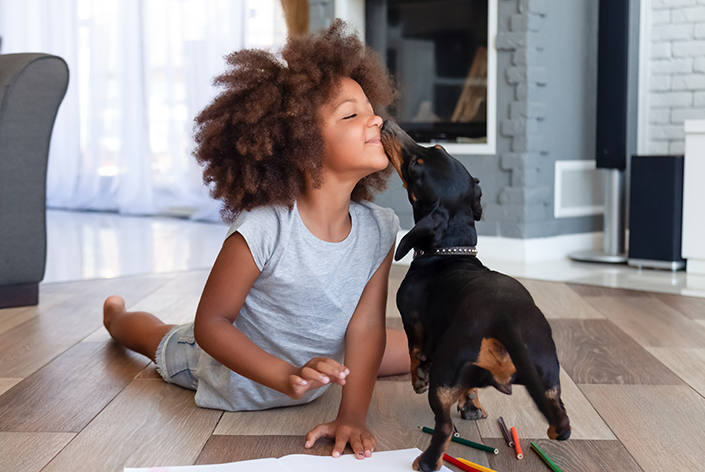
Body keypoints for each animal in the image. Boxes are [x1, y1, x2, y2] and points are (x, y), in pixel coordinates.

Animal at [382, 121, 568, 472]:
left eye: (416, 167)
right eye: (438, 148)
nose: (388, 125)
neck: (452, 251)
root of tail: (504, 321)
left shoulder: (412, 322)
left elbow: (415, 352)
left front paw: (417, 378)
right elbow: (469, 390)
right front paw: (472, 407)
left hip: (444, 374)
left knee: (443, 427)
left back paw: (426, 461)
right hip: (549, 377)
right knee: (561, 421)